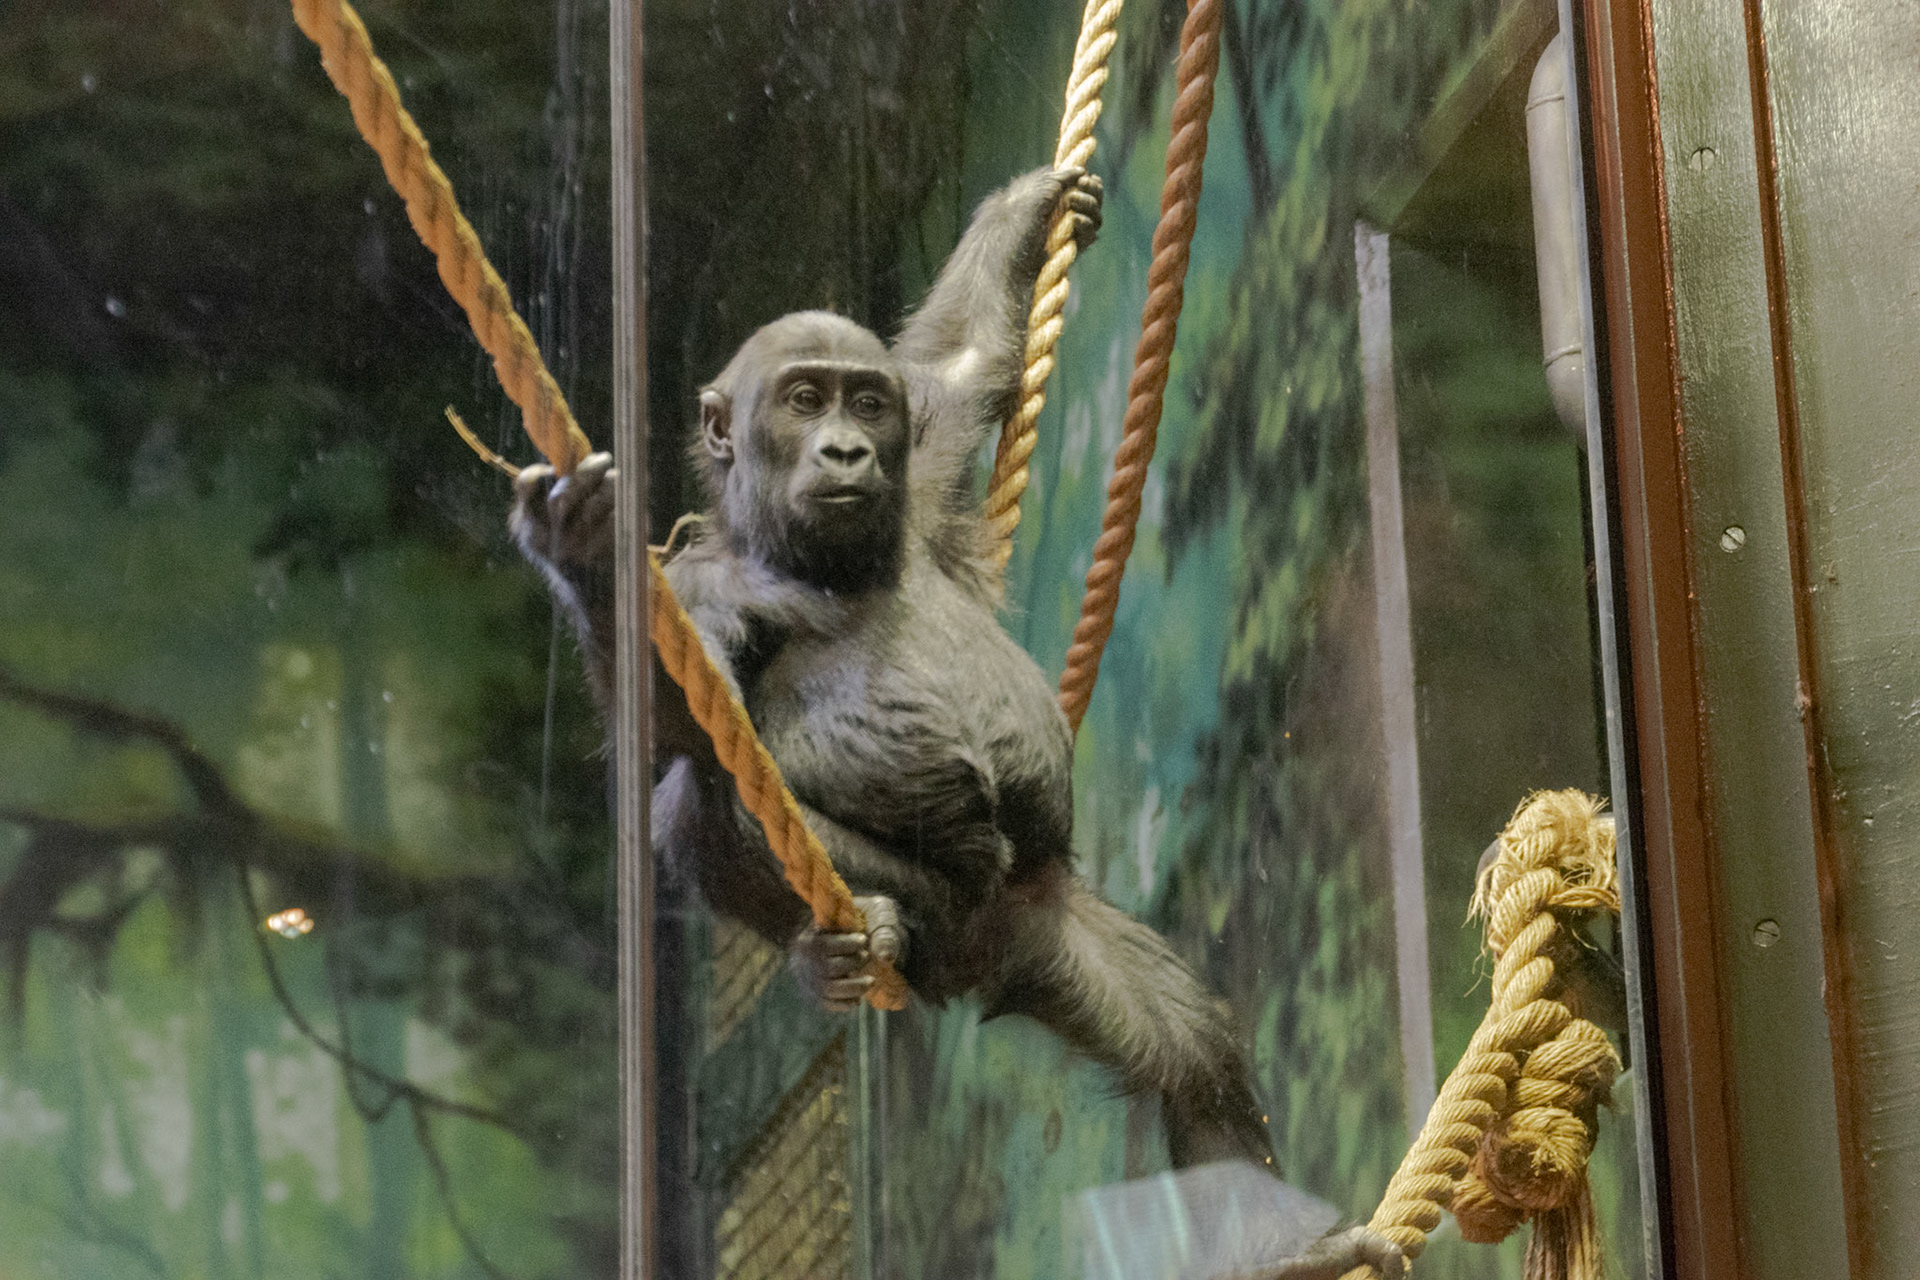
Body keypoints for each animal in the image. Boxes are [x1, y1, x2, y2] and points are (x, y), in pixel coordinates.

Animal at [513, 167, 1403, 1280]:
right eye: (801, 399)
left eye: (863, 399)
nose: (846, 447)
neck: (811, 554)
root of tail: (975, 957)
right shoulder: (700, 587)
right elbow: (674, 724)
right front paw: (583, 554)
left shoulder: (922, 464)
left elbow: (958, 362)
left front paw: (1028, 212)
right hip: (932, 907)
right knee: (702, 801)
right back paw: (835, 944)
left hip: (1044, 927)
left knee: (1187, 1041)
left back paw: (1283, 1243)